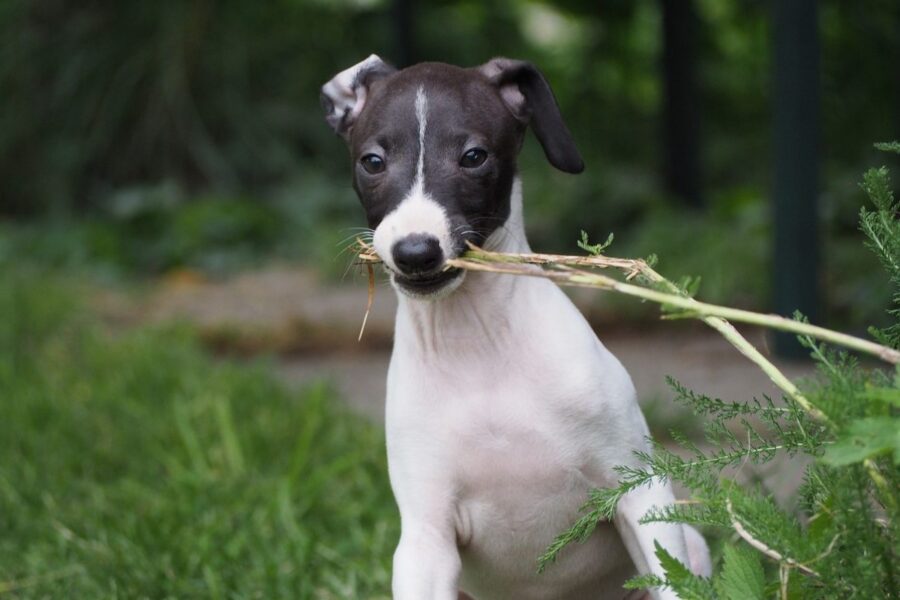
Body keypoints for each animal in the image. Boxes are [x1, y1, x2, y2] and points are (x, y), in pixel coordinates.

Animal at [324, 55, 712, 600]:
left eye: (473, 156)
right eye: (373, 161)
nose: (416, 252)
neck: (479, 345)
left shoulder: (640, 493)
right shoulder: (425, 537)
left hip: (691, 544)